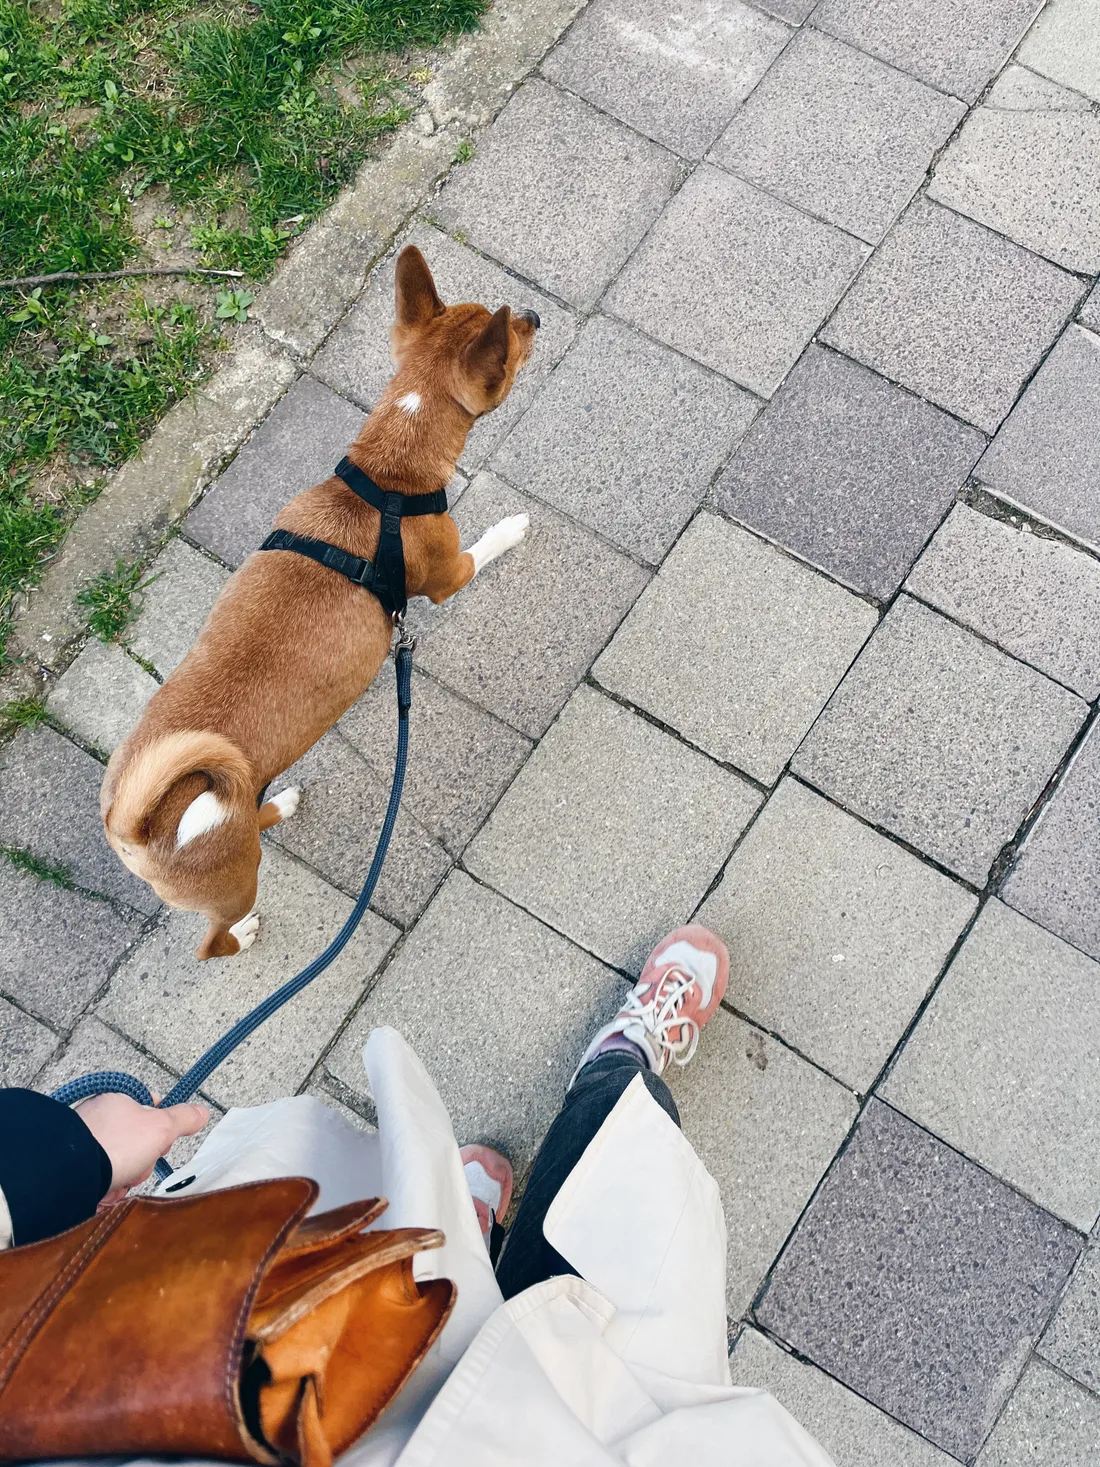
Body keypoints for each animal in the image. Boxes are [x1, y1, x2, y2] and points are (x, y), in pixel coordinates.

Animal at [101, 245, 539, 959]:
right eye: (516, 342)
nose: (533, 313)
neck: (387, 478)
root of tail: (134, 826)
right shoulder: (449, 574)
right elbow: (487, 543)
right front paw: (512, 526)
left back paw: (279, 804)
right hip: (234, 880)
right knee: (213, 942)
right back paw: (244, 933)